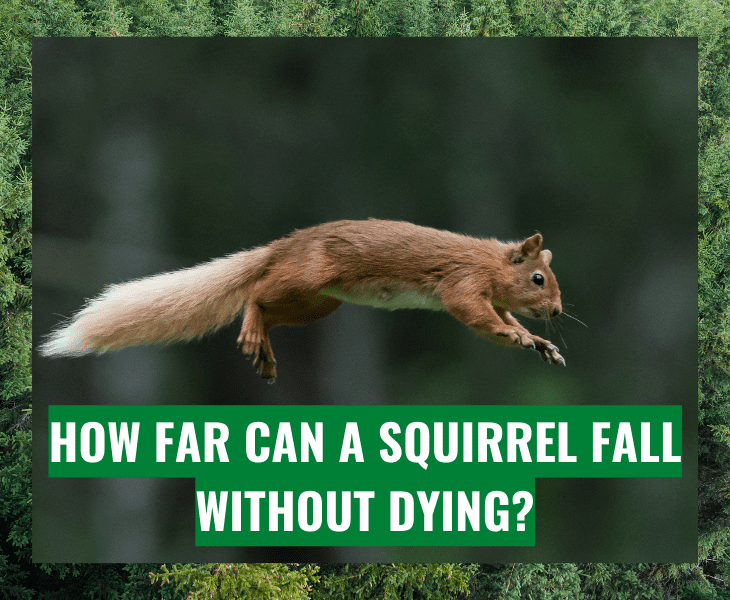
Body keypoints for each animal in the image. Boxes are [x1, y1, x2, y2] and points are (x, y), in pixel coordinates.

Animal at [40, 219, 565, 382]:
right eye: (538, 278)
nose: (558, 311)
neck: (491, 262)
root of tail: (281, 247)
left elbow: (501, 320)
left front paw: (537, 341)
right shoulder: (461, 282)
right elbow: (476, 315)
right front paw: (515, 333)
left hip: (319, 303)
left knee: (273, 311)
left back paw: (264, 348)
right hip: (307, 276)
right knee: (255, 294)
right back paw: (252, 327)